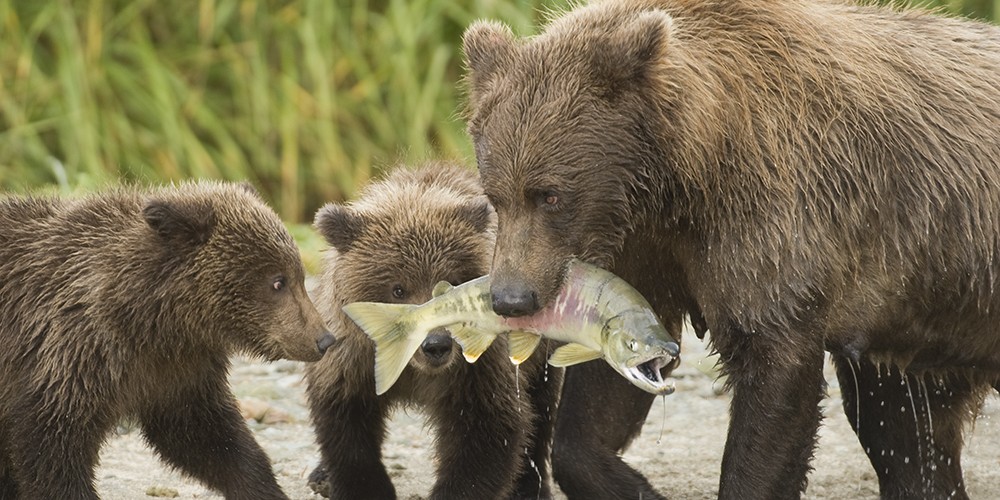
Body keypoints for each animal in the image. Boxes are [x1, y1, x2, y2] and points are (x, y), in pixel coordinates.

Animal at [0, 181, 334, 500]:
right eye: (278, 281)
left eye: (298, 276)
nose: (324, 339)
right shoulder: (74, 353)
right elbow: (52, 445)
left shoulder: (175, 371)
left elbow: (206, 436)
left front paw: (266, 488)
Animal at [303, 161, 564, 500]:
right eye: (398, 289)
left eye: (452, 281)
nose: (436, 344)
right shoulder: (352, 360)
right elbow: (347, 424)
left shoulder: (479, 367)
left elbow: (488, 430)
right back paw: (321, 476)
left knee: (541, 405)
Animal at [461, 0, 1000, 499]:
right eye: (496, 195)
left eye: (550, 195)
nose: (511, 297)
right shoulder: (642, 250)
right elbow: (599, 399)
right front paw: (633, 484)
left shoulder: (771, 214)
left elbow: (773, 373)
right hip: (919, 321)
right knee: (905, 428)